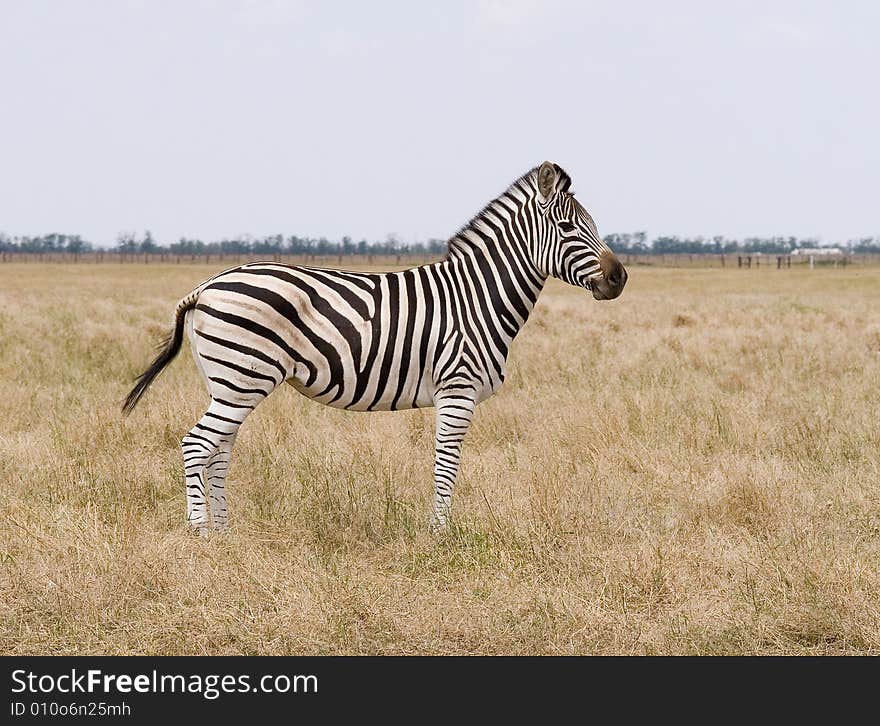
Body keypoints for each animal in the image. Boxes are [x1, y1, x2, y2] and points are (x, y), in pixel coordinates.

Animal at [124, 164, 624, 536]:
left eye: (594, 225)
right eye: (567, 227)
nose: (619, 278)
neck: (476, 296)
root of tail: (206, 286)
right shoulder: (457, 390)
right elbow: (446, 464)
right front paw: (439, 534)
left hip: (229, 382)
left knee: (219, 449)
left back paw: (226, 532)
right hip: (243, 378)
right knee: (196, 444)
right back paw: (201, 534)